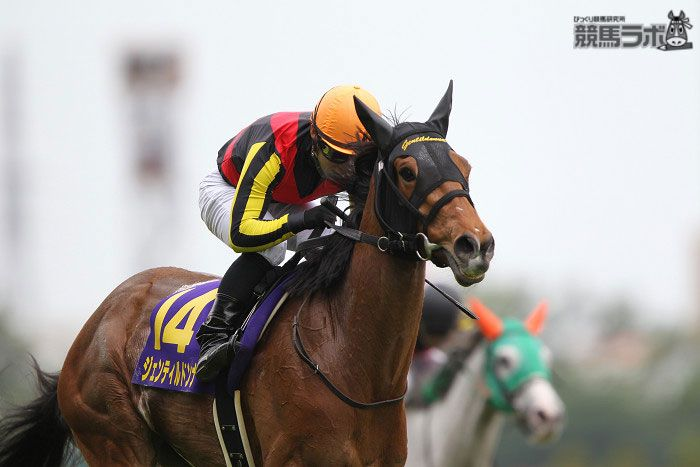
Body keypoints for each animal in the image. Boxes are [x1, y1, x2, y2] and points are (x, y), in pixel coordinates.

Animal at [0, 81, 495, 466]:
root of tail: (93, 326)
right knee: (258, 244)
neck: (349, 357)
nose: (475, 245)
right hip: (114, 439)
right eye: (406, 170)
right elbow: (246, 231)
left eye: (464, 166)